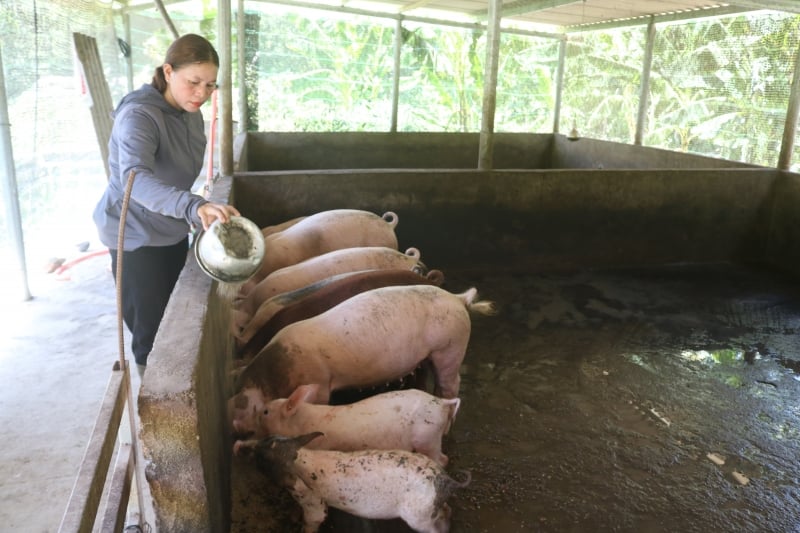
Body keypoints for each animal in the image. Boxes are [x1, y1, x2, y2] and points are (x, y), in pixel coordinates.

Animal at [228, 282, 496, 436]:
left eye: (251, 407)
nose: (236, 429)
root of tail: (458, 298)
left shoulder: (320, 383)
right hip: (432, 354)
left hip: (450, 347)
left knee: (451, 383)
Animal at [233, 432, 468, 532]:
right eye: (266, 439)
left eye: (263, 457)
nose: (239, 444)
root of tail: (446, 480)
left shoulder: (313, 503)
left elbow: (313, 520)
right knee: (447, 511)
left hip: (419, 516)